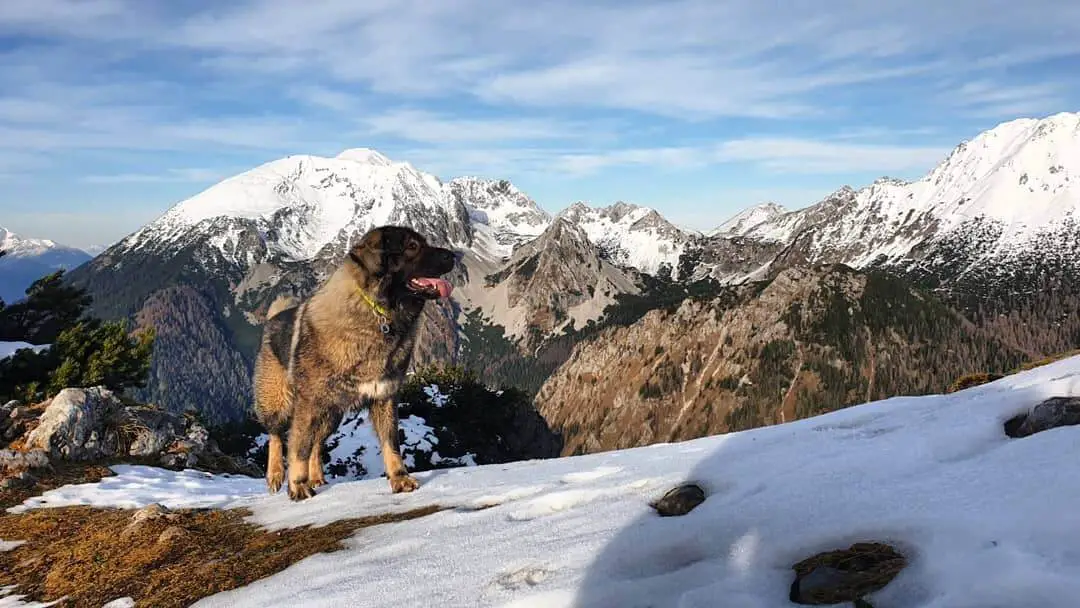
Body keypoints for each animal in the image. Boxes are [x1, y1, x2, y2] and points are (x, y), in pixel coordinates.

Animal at [254, 225, 457, 501]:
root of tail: (273, 319)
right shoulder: (308, 404)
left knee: (316, 443)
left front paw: (399, 478)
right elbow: (299, 446)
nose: (454, 256)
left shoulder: (384, 397)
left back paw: (316, 476)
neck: (380, 314)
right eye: (412, 246)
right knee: (277, 435)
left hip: (331, 415)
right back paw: (276, 474)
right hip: (281, 401)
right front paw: (297, 485)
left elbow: (391, 443)